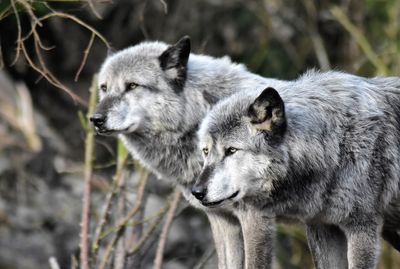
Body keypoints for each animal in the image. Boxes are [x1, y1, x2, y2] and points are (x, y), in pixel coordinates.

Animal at [89, 36, 290, 268]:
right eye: (104, 88)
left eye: (132, 86)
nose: (95, 119)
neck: (198, 117)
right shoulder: (222, 219)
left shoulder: (254, 218)